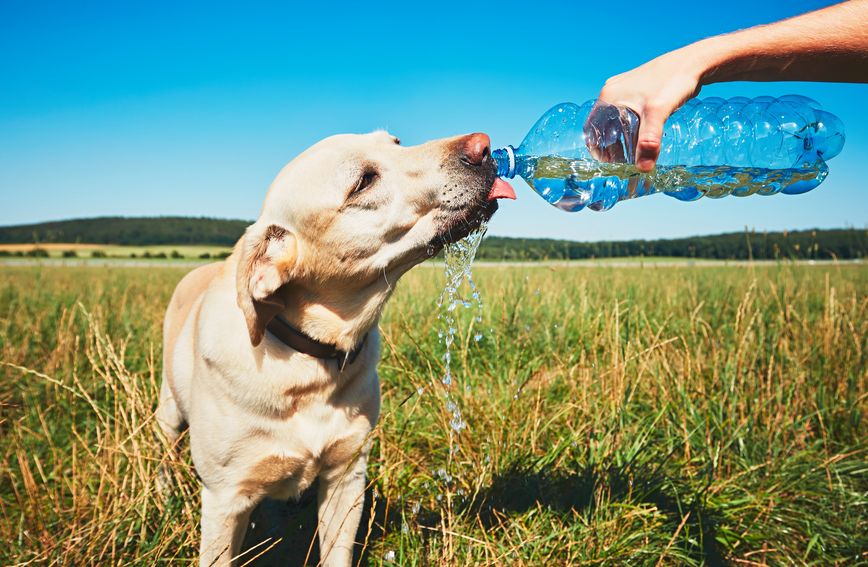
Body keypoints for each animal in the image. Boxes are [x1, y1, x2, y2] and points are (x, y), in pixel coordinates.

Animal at [157, 131, 516, 564]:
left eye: (396, 142)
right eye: (363, 182)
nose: (484, 145)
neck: (309, 361)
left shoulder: (347, 476)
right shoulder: (224, 499)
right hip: (168, 411)